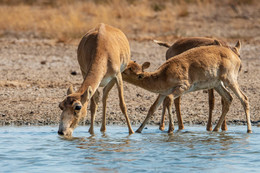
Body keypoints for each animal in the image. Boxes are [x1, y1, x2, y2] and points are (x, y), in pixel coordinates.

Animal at [122, 41, 252, 133]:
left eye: (126, 70)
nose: (118, 71)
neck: (163, 75)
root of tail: (236, 56)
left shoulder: (182, 87)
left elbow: (169, 100)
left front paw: (171, 129)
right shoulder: (163, 92)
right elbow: (152, 108)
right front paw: (138, 130)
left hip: (230, 80)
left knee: (244, 98)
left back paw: (249, 130)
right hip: (217, 85)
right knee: (229, 98)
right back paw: (215, 129)